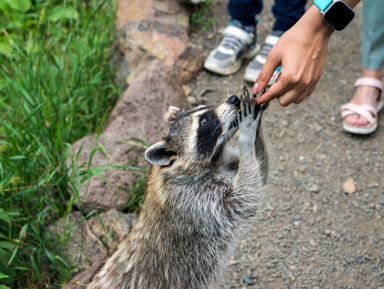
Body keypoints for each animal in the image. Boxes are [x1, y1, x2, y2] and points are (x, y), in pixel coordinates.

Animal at [89, 85, 270, 288]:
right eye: (204, 120)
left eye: (204, 106)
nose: (233, 99)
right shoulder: (195, 201)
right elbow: (245, 199)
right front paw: (248, 132)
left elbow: (261, 172)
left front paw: (256, 119)